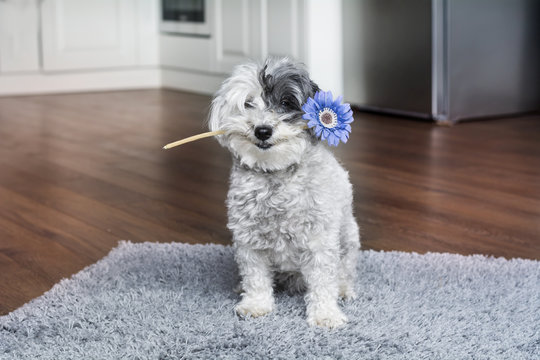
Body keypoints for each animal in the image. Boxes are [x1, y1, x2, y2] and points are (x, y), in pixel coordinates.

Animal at [209, 57, 360, 330]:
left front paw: (326, 314)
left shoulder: (320, 241)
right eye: (248, 103)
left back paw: (343, 289)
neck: (276, 175)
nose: (262, 130)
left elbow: (323, 281)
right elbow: (256, 277)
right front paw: (256, 305)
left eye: (286, 103)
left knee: (344, 271)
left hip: (348, 238)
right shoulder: (249, 240)